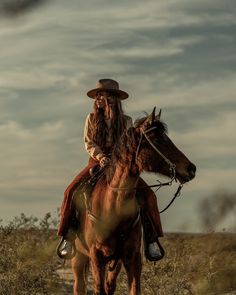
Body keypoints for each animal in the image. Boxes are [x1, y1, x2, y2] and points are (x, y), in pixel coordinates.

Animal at [70, 108, 195, 295]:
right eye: (158, 140)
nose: (191, 169)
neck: (113, 207)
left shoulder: (132, 257)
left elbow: (133, 289)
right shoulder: (96, 256)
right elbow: (98, 288)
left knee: (110, 285)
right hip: (79, 257)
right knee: (80, 286)